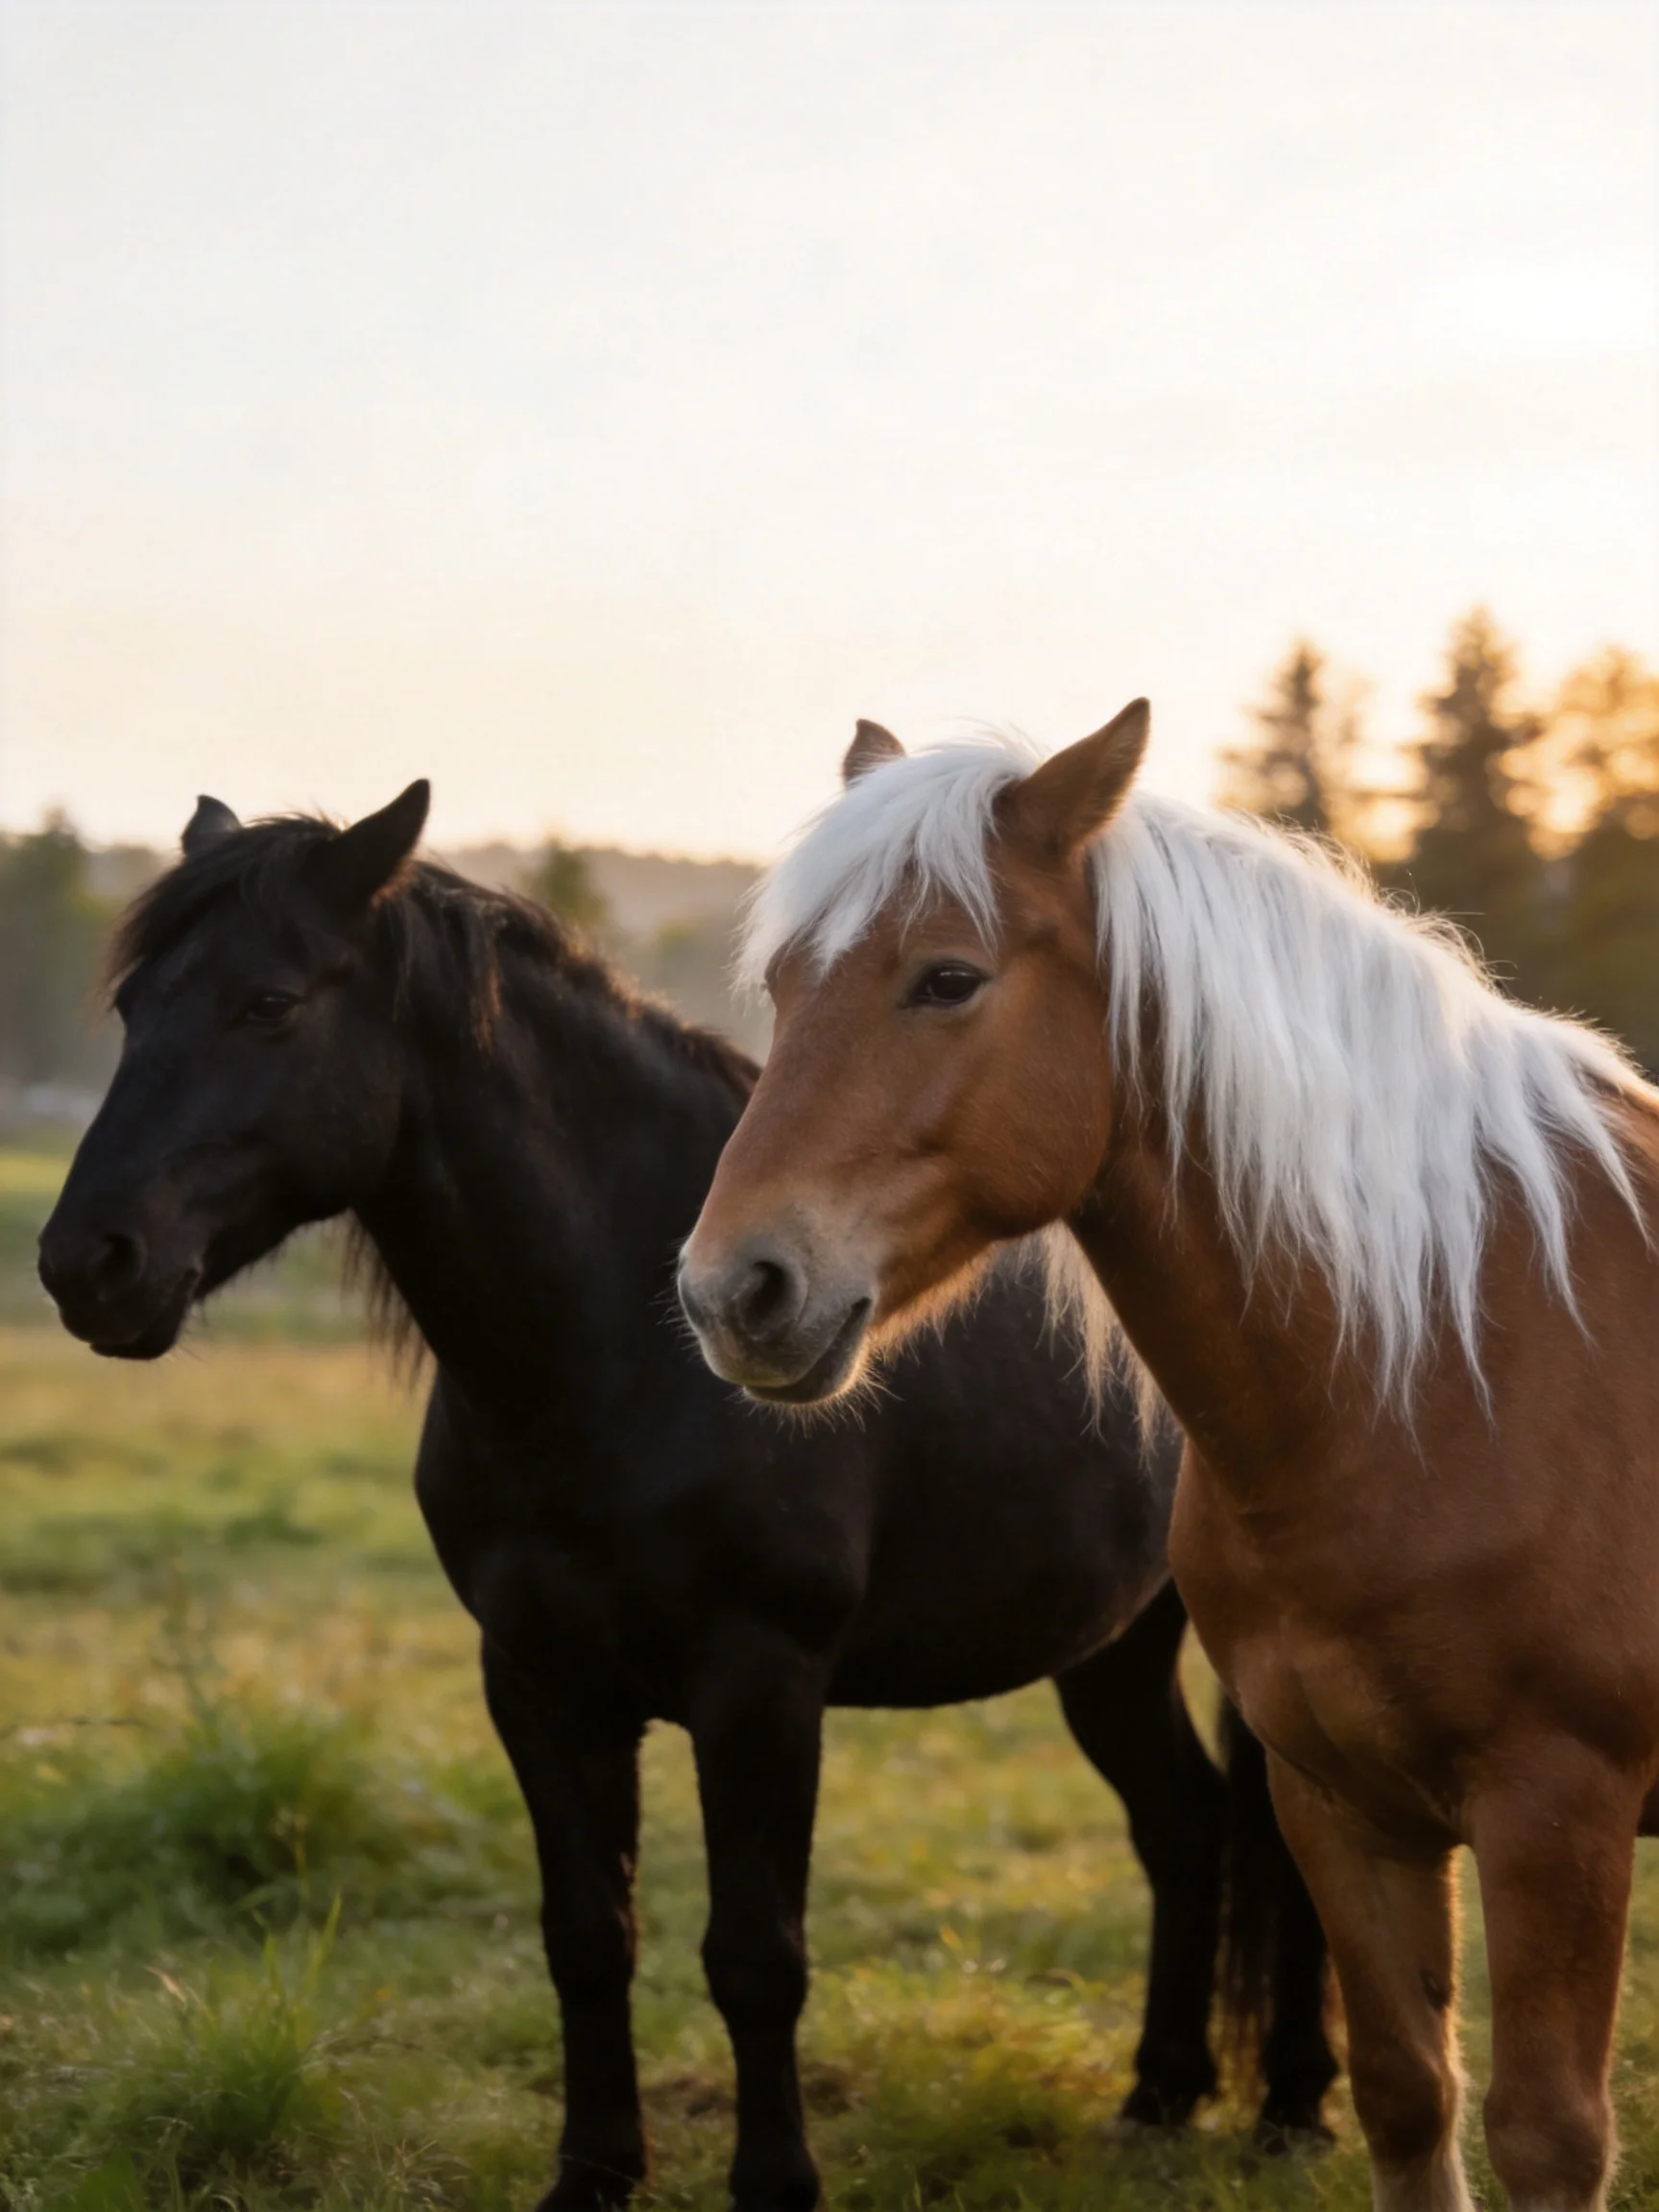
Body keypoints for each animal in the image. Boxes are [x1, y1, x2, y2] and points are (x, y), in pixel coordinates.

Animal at [36, 782, 1335, 2212]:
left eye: (268, 1002)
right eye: (131, 1006)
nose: (87, 1263)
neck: (621, 1358)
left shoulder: (759, 1685)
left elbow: (755, 1954)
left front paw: (774, 2180)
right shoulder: (535, 1682)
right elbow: (587, 1936)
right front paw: (595, 2172)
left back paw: (1291, 2110)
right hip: (1113, 1646)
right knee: (1187, 1827)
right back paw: (1159, 2098)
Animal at [677, 703, 1659, 2212]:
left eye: (948, 979)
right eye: (784, 984)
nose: (734, 1292)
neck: (1458, 1367)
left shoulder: (1561, 1813)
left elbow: (1550, 2136)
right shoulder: (1341, 1802)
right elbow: (1407, 2094)